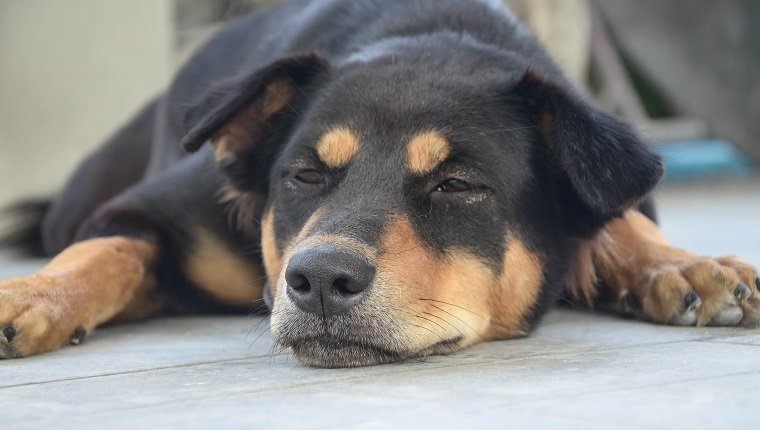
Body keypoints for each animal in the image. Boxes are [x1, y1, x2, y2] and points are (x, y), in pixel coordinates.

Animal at [0, 0, 756, 368]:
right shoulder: (143, 211)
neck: (429, 35)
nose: (318, 282)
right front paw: (30, 295)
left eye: (457, 185)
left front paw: (685, 267)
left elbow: (620, 218)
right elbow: (105, 251)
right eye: (304, 176)